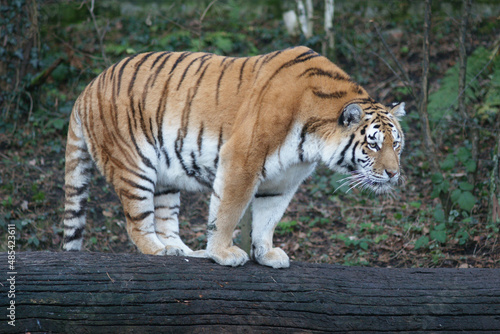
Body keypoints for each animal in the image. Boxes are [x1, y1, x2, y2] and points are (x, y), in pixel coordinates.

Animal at [63, 45, 406, 268]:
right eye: (373, 145)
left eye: (397, 145)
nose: (393, 174)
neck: (313, 141)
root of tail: (87, 88)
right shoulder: (242, 160)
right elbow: (227, 212)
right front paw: (223, 253)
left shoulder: (284, 180)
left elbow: (268, 218)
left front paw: (266, 254)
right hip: (134, 167)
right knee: (136, 223)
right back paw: (159, 252)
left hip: (165, 179)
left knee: (165, 220)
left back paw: (185, 252)